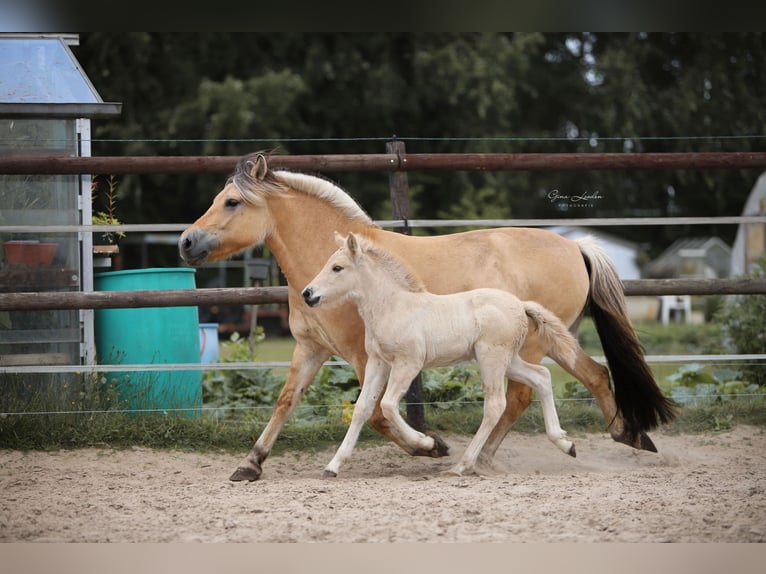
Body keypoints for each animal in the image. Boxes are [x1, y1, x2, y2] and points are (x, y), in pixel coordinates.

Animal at [302, 232, 579, 477]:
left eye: (337, 268)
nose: (307, 294)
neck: (393, 307)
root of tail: (520, 304)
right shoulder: (378, 362)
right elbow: (363, 408)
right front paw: (333, 466)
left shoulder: (408, 363)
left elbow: (388, 405)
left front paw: (429, 442)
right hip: (509, 360)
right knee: (541, 376)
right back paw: (565, 443)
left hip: (491, 358)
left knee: (495, 404)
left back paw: (461, 466)